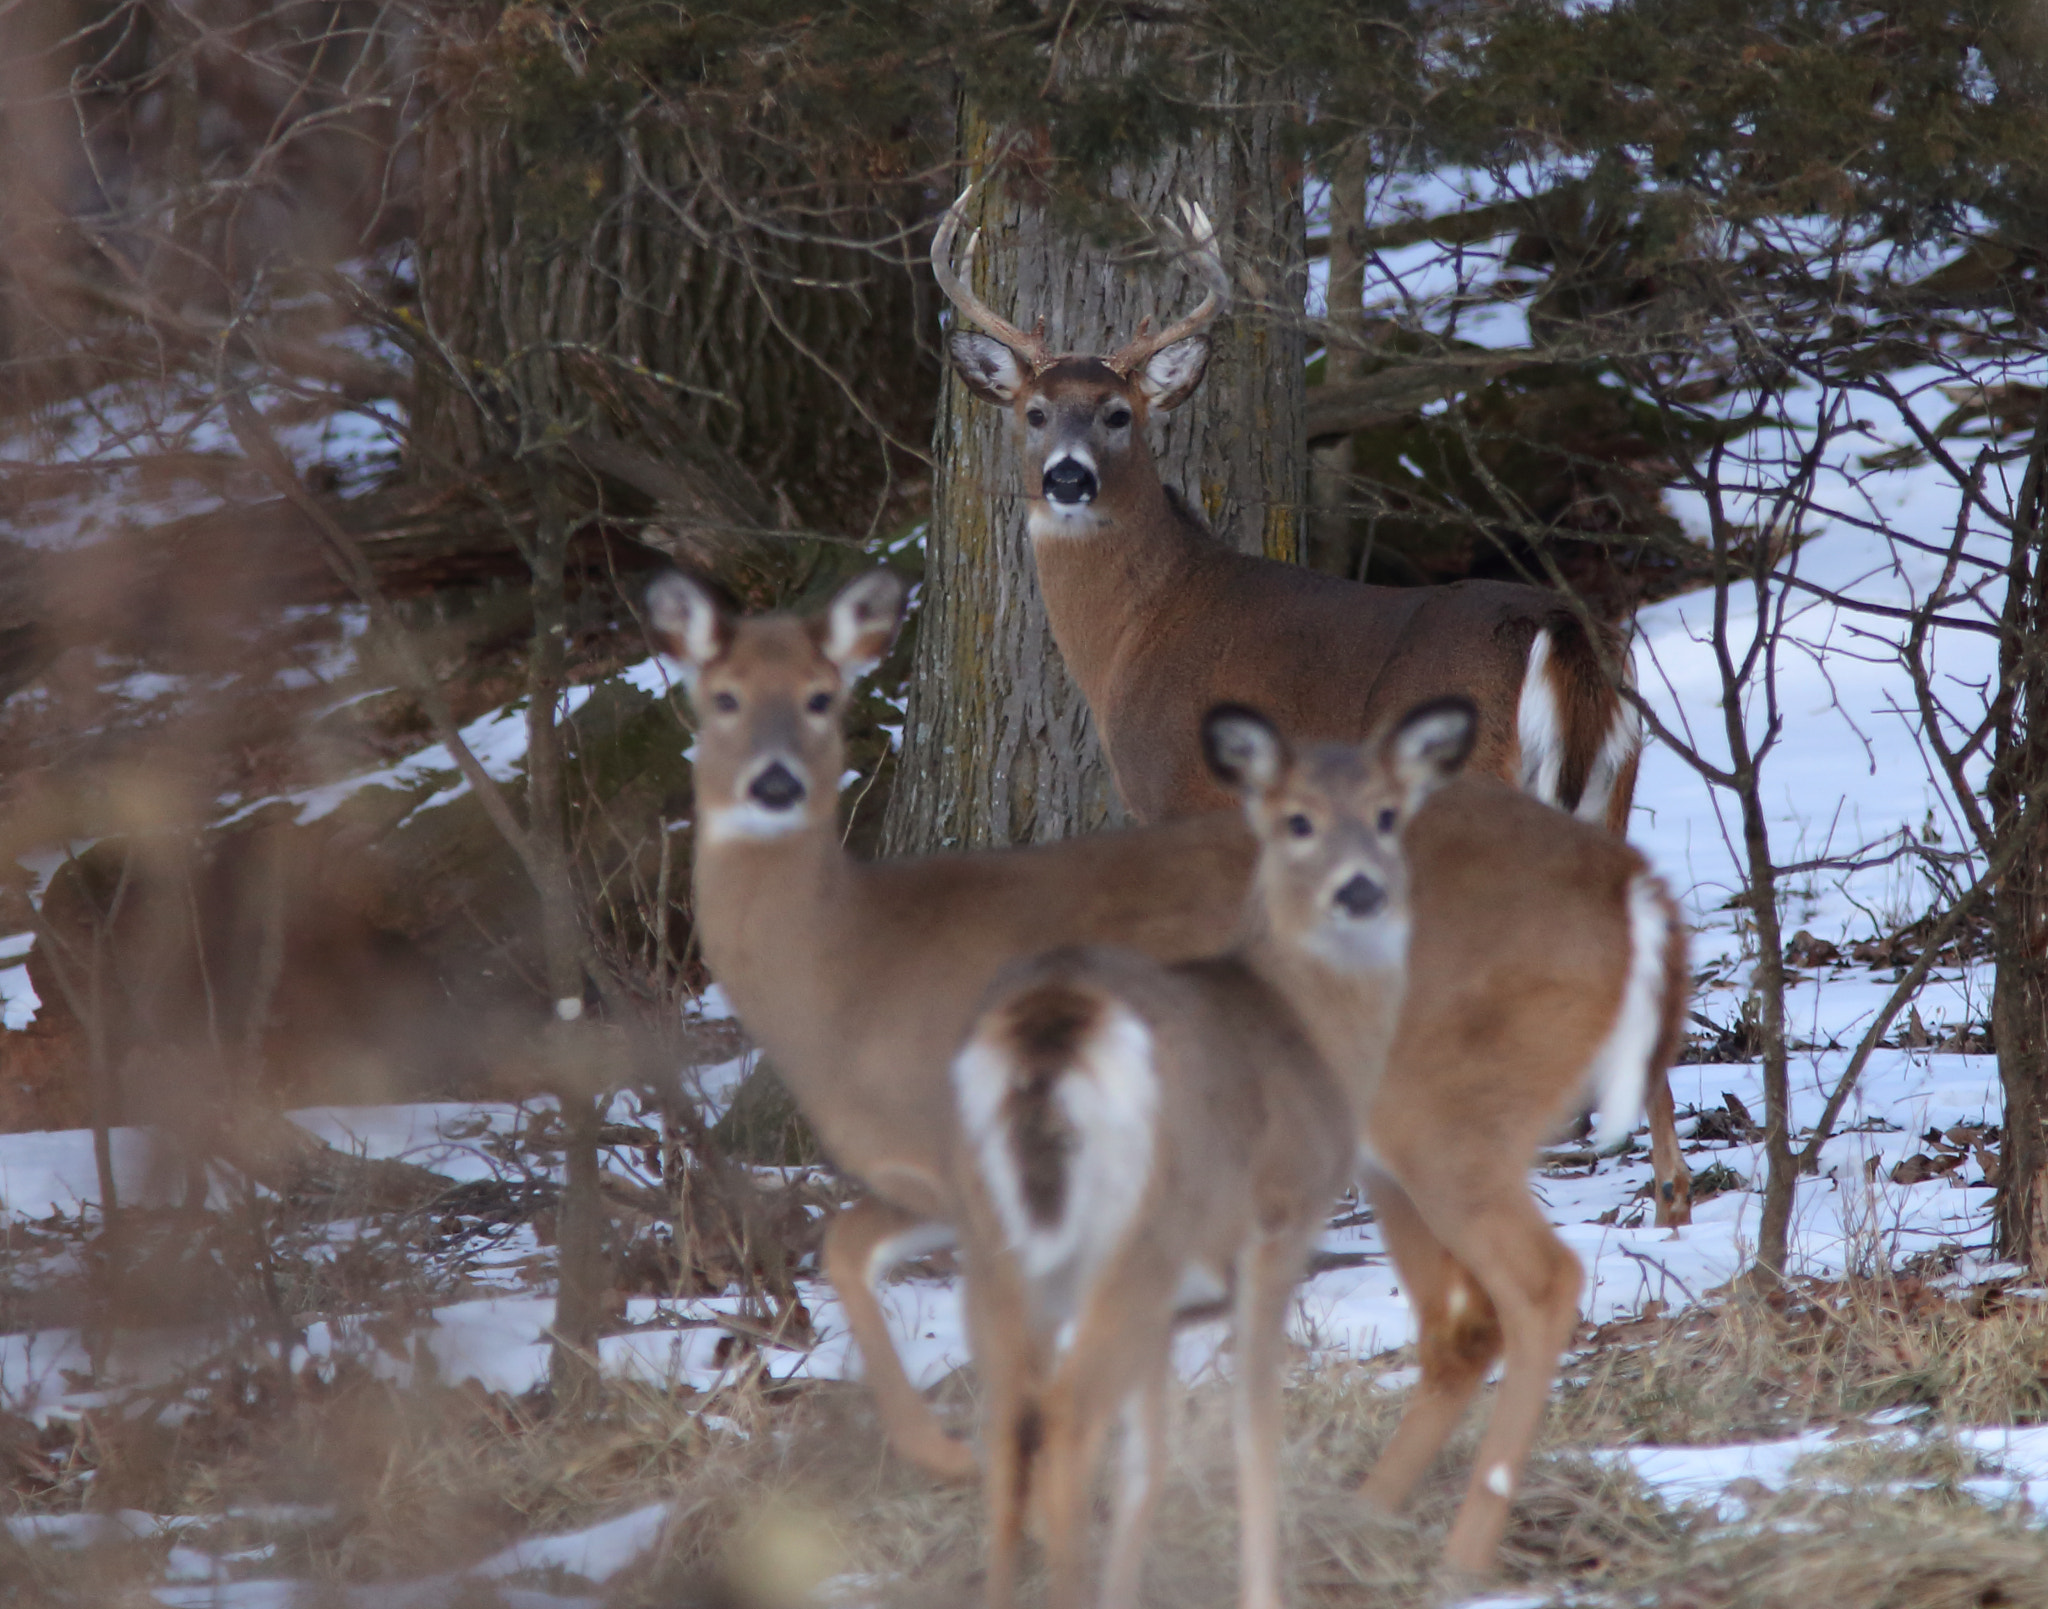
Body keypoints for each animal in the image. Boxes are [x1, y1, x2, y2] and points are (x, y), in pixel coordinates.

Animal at [647, 569, 1253, 1482]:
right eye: (723, 696)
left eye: (822, 696)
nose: (775, 783)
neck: (850, 973)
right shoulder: (925, 1167)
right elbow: (844, 1244)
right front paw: (937, 1444)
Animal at [937, 182, 1687, 1220]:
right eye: (1036, 410)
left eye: (1120, 413)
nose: (1069, 477)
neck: (1138, 630)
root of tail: (1562, 627)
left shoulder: (1185, 801)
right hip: (1616, 777)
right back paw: (1672, 1189)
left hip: (1470, 797)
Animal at [950, 700, 1482, 1604]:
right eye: (1297, 820)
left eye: (1387, 815)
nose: (1361, 889)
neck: (1311, 1029)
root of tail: (1053, 1027)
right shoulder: (1278, 1226)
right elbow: (1252, 1434)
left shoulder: (1177, 1306)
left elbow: (1149, 1461)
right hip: (1141, 1232)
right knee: (1065, 1418)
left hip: (993, 1236)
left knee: (1005, 1426)